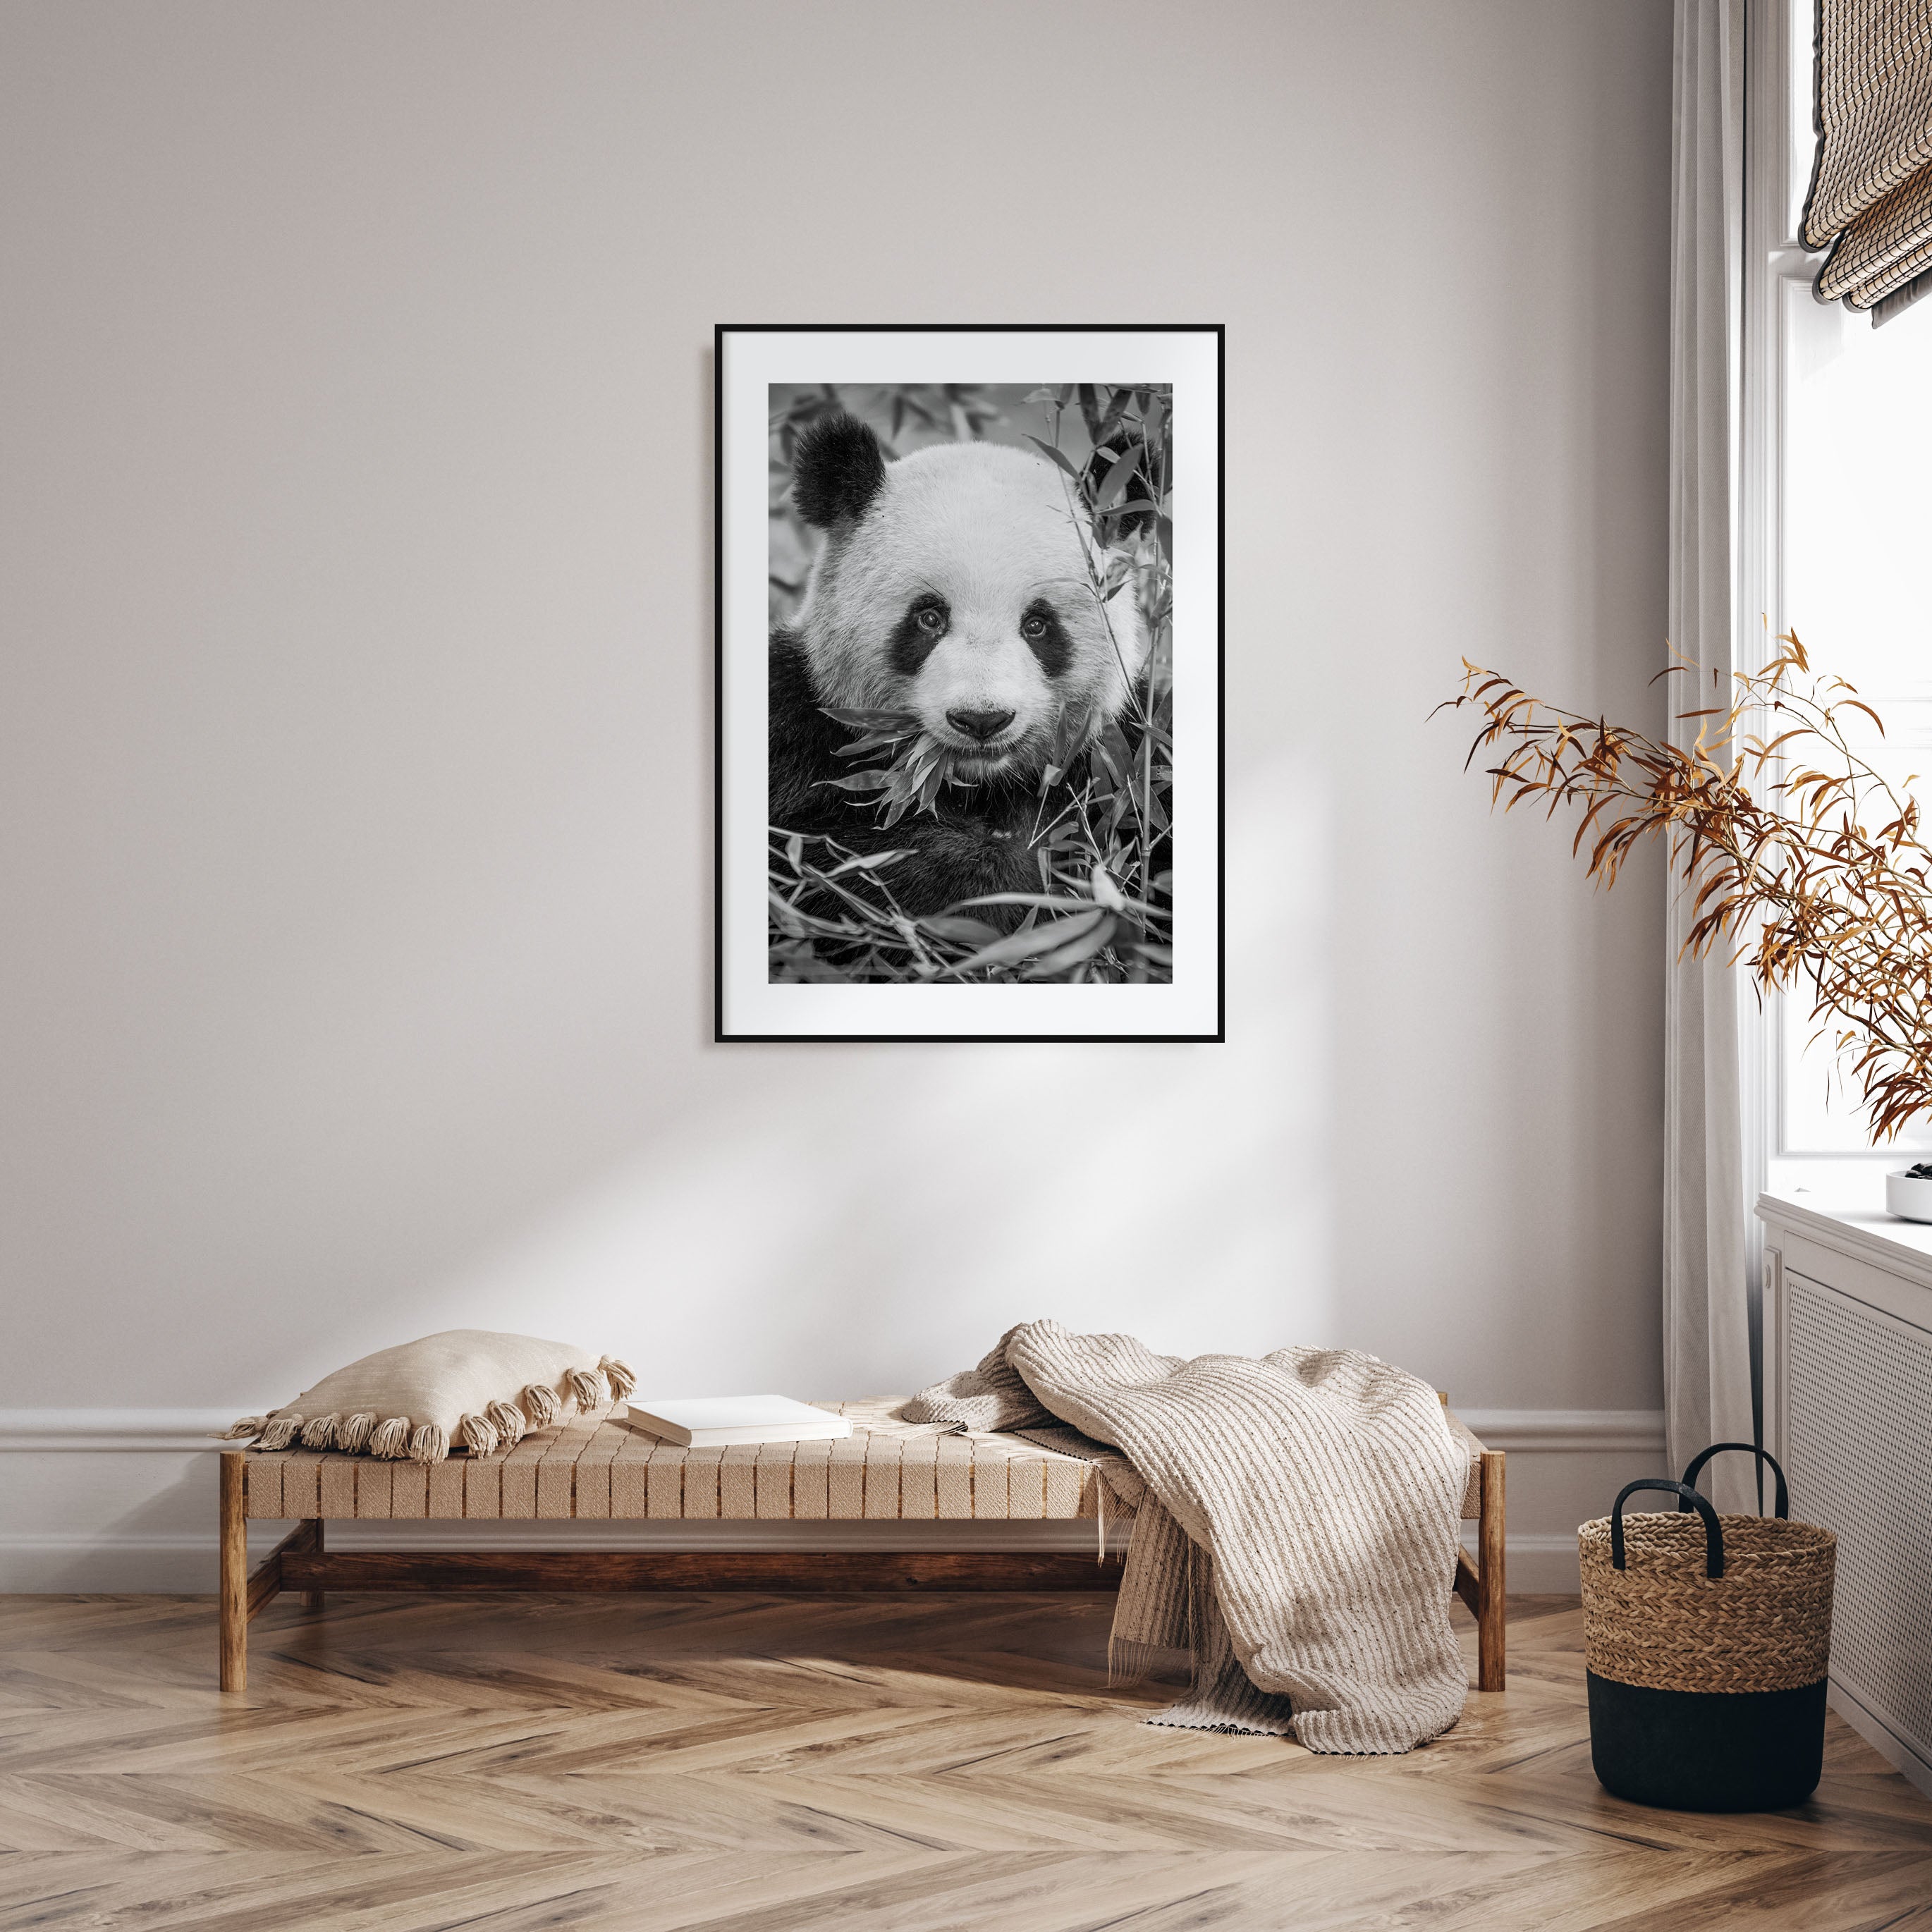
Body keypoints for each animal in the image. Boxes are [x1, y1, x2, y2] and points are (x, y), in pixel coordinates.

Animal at [769, 412, 1150, 923]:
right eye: (929, 618)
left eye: (1038, 625)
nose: (982, 719)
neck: (976, 785)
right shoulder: (796, 730)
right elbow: (824, 857)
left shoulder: (1123, 753)